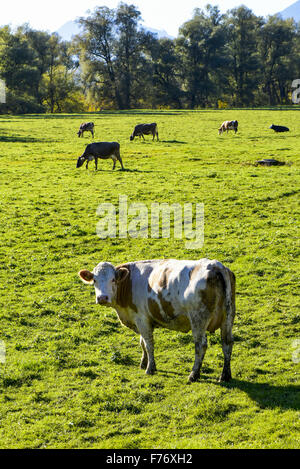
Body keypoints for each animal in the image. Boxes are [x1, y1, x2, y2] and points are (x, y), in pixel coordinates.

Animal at [78, 258, 237, 382]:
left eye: (113, 280)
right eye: (95, 280)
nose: (102, 298)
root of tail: (216, 266)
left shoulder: (142, 319)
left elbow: (148, 344)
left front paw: (150, 368)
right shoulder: (140, 319)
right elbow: (142, 343)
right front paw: (143, 362)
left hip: (198, 319)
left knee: (201, 345)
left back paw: (194, 374)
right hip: (228, 317)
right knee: (227, 343)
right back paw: (225, 375)